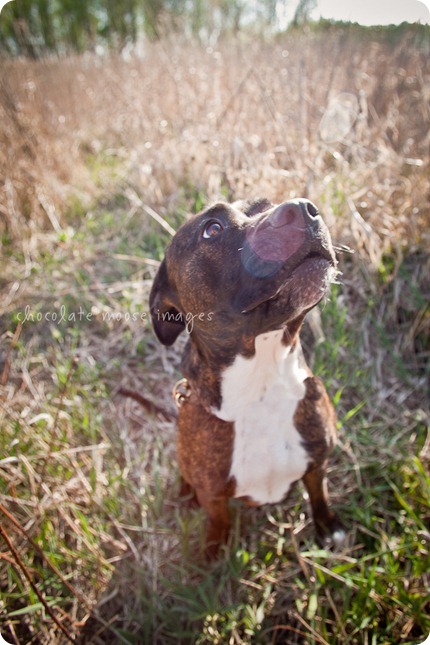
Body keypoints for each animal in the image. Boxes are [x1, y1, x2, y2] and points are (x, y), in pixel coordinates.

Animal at [149, 199, 344, 556]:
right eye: (212, 228)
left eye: (267, 203)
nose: (303, 207)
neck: (263, 389)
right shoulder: (212, 493)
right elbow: (218, 519)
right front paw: (213, 549)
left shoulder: (318, 463)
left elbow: (319, 495)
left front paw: (328, 526)